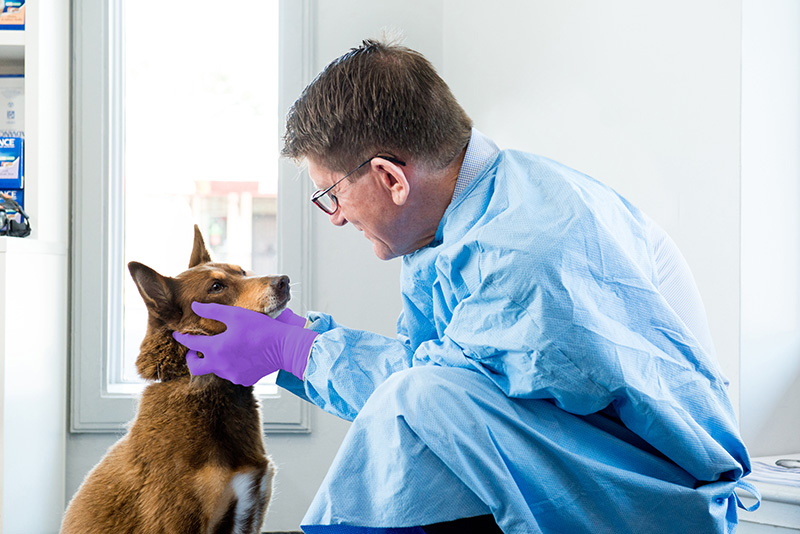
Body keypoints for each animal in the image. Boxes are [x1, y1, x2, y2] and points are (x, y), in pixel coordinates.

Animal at [60, 226, 278, 534]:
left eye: (242, 271)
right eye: (216, 287)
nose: (284, 281)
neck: (206, 387)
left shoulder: (250, 515)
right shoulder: (180, 521)